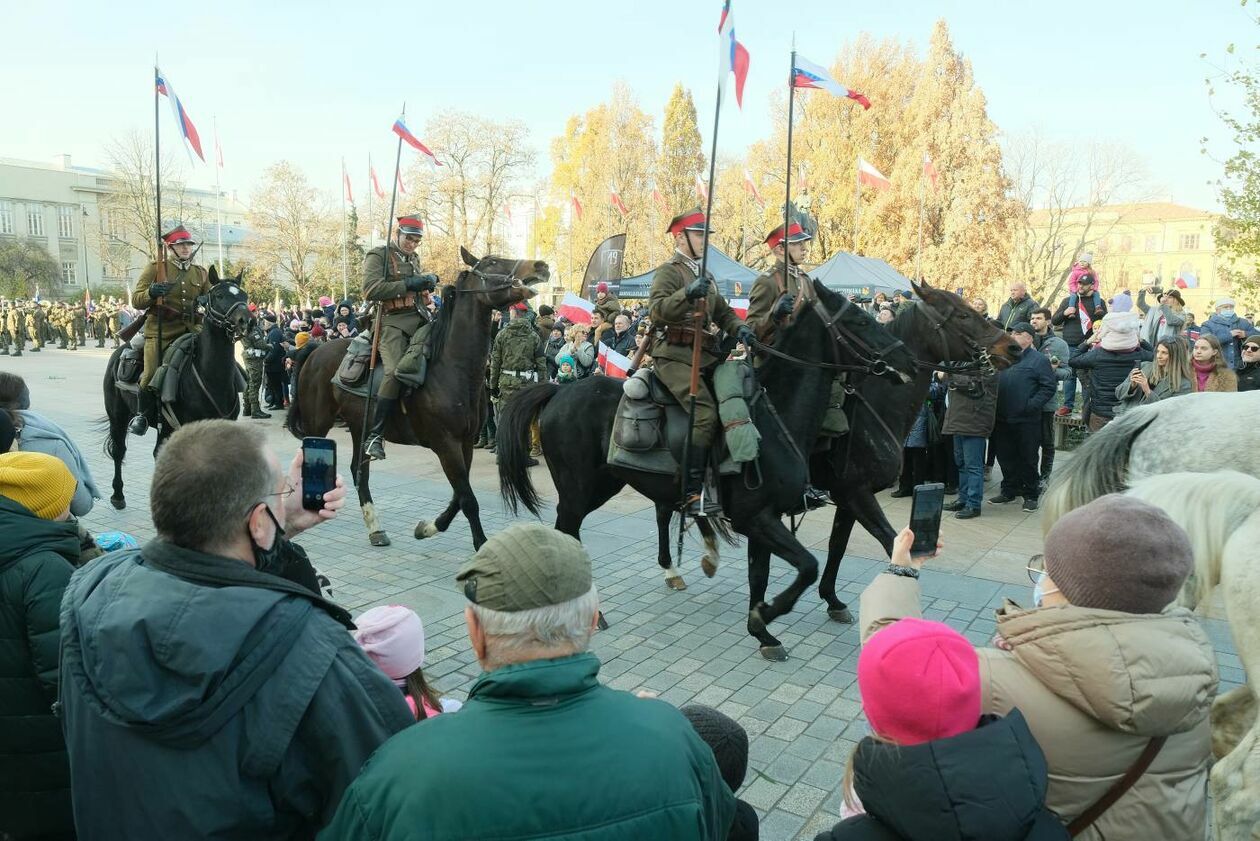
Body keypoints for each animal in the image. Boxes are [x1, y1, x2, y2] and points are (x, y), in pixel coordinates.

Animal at [102, 266, 254, 509]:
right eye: (219, 295)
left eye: (244, 296)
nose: (247, 322)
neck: (209, 376)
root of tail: (120, 350)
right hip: (118, 415)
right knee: (119, 450)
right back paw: (118, 495)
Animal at [288, 248, 549, 552]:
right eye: (492, 262)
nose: (541, 265)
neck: (452, 368)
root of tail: (315, 350)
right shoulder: (446, 444)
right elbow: (468, 499)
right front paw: (480, 543)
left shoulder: (466, 442)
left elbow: (459, 496)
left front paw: (428, 527)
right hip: (318, 424)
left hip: (359, 427)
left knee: (359, 471)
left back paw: (375, 528)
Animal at [493, 279, 917, 660]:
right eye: (860, 321)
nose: (907, 360)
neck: (775, 418)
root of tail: (559, 391)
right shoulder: (759, 516)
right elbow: (808, 566)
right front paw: (769, 614)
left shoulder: (768, 516)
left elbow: (762, 574)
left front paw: (762, 630)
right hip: (580, 489)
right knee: (567, 530)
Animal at [806, 279, 1023, 622]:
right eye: (963, 315)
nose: (1013, 347)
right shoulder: (856, 494)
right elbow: (890, 543)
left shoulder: (849, 496)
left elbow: (837, 545)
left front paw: (832, 599)